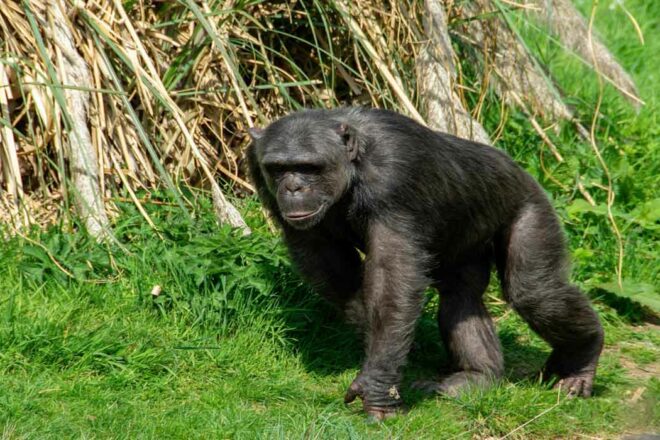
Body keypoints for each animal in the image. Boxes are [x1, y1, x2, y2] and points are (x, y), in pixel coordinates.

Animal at [247, 107, 604, 420]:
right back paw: (477, 375)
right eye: (278, 169)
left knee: (536, 293)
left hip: (529, 207)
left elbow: (393, 278)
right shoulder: (259, 171)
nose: (293, 187)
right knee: (461, 296)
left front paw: (377, 386)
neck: (353, 167)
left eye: (309, 167)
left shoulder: (394, 176)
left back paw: (581, 360)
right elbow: (330, 265)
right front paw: (379, 342)